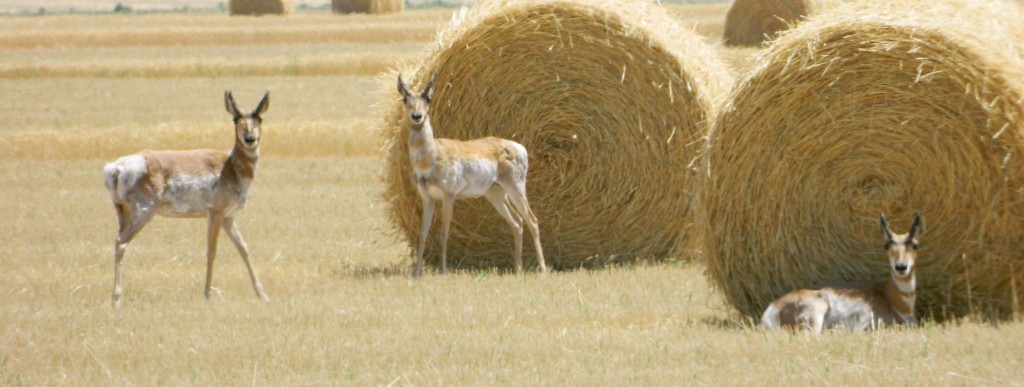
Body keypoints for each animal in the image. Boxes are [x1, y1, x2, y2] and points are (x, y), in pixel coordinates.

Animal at [103, 90, 270, 305]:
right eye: (235, 119)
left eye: (259, 118)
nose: (250, 139)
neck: (230, 166)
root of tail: (117, 167)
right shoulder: (215, 213)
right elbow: (211, 251)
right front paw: (207, 293)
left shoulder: (228, 217)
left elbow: (243, 249)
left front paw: (263, 295)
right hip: (144, 212)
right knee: (121, 243)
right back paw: (117, 298)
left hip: (122, 212)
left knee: (117, 241)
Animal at [395, 72, 548, 276]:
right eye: (405, 99)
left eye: (427, 98)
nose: (417, 116)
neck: (432, 156)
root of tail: (518, 146)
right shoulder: (428, 199)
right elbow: (423, 233)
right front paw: (416, 272)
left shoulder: (448, 196)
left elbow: (444, 232)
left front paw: (443, 270)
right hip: (496, 195)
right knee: (517, 223)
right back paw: (518, 269)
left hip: (515, 189)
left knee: (532, 220)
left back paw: (542, 269)